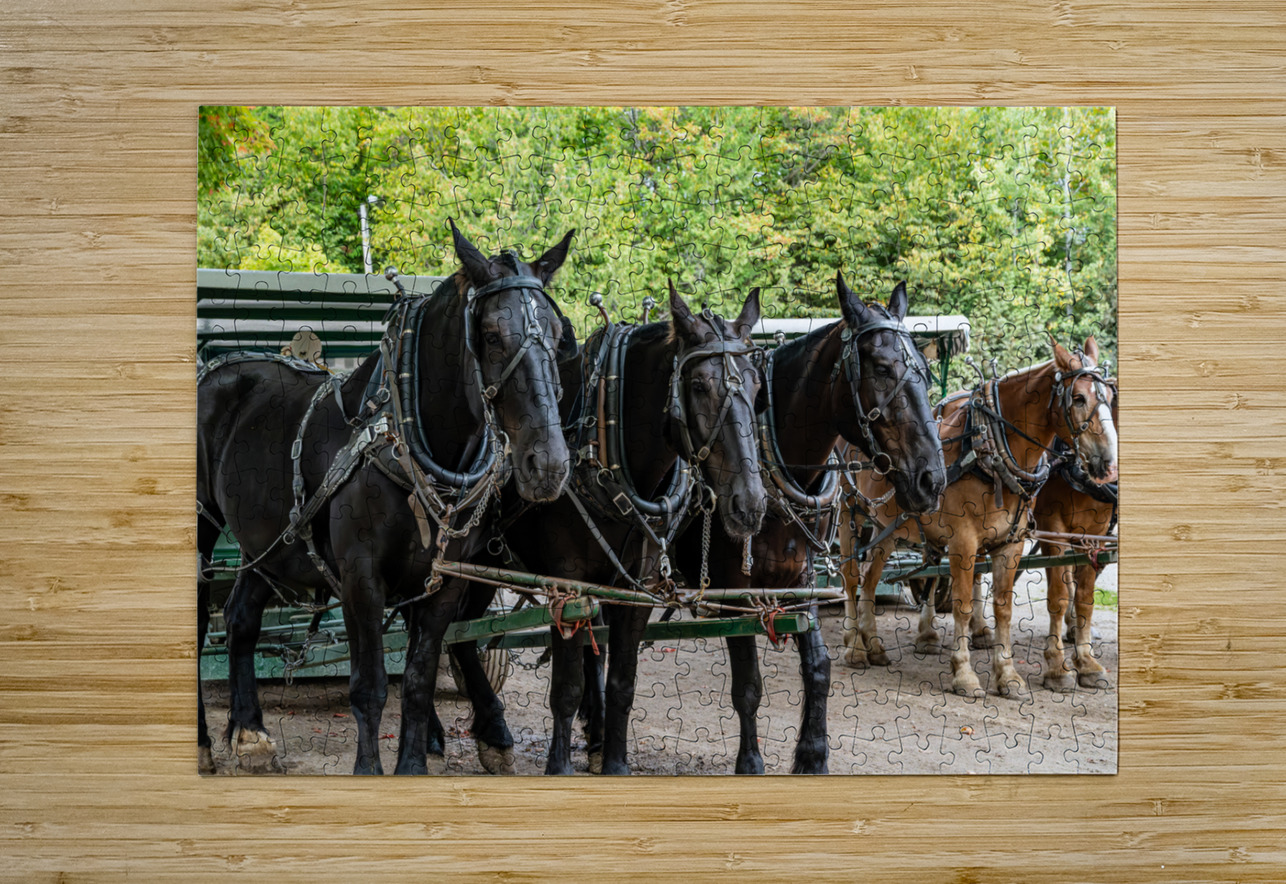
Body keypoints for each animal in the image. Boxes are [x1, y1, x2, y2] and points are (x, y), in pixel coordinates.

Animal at [197, 221, 577, 774]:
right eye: (490, 336)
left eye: (558, 335)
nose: (547, 464)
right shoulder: (361, 578)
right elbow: (370, 687)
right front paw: (370, 770)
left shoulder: (446, 584)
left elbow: (418, 682)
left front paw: (413, 766)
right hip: (205, 528)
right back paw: (205, 741)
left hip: (269, 544)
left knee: (241, 618)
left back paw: (249, 732)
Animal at [462, 280, 768, 775]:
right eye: (698, 385)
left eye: (758, 385)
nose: (751, 503)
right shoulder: (566, 584)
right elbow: (565, 689)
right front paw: (559, 766)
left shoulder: (635, 588)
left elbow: (622, 682)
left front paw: (615, 762)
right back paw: (488, 732)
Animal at [671, 274, 946, 774]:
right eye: (882, 368)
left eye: (923, 367)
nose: (933, 477)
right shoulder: (733, 588)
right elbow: (748, 685)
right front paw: (750, 763)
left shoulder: (800, 578)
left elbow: (818, 667)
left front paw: (813, 755)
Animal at [839, 337, 1117, 698]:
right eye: (1079, 398)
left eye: (1110, 396)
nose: (1108, 464)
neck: (989, 449)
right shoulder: (966, 541)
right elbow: (965, 604)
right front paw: (965, 674)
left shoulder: (1021, 542)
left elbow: (1013, 606)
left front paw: (1010, 674)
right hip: (848, 510)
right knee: (850, 577)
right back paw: (854, 645)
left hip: (887, 526)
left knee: (871, 579)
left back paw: (872, 644)